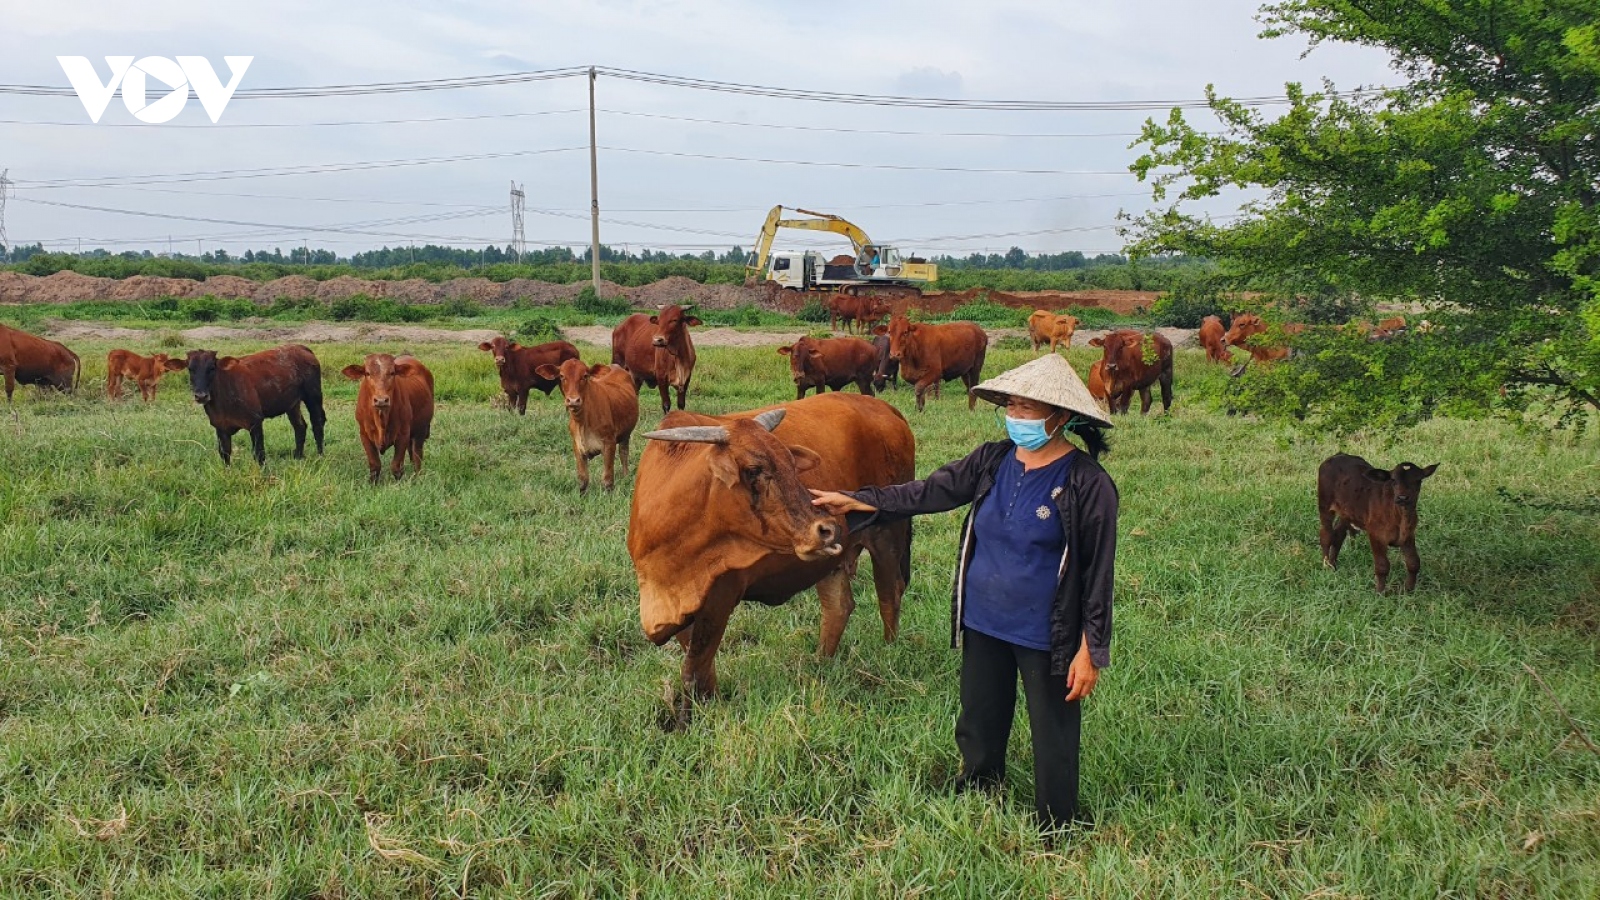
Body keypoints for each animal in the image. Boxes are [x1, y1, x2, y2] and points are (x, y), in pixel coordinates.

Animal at [165, 344, 324, 464]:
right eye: (190, 369)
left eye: (212, 368)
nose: (201, 395)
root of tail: (300, 347)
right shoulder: (220, 426)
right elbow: (225, 454)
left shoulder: (256, 422)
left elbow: (259, 454)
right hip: (292, 404)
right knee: (300, 426)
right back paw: (298, 457)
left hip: (313, 396)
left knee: (317, 423)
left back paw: (320, 456)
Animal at [340, 350, 435, 483]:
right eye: (367, 373)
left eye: (392, 373)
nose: (381, 400)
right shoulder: (364, 434)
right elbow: (375, 464)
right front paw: (373, 483)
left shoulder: (403, 434)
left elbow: (396, 465)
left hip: (420, 430)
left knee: (417, 455)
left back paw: (417, 476)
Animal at [534, 357, 640, 490]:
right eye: (562, 376)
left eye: (585, 376)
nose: (573, 400)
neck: (583, 422)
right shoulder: (576, 445)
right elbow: (583, 479)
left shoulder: (609, 443)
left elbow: (607, 479)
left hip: (626, 433)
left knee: (624, 452)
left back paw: (626, 476)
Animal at [630, 392, 921, 707]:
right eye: (753, 470)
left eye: (791, 464)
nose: (827, 529)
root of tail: (883, 407)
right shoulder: (680, 605)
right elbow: (697, 664)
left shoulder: (720, 595)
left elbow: (696, 668)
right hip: (831, 560)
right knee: (839, 606)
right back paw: (820, 665)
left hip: (888, 534)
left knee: (889, 595)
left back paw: (888, 653)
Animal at [1318, 451, 1446, 592]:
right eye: (1393, 480)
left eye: (1418, 480)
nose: (1402, 498)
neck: (1400, 517)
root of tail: (1338, 455)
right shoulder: (1376, 535)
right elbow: (1382, 566)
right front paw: (1380, 592)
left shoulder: (1408, 535)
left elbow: (1414, 563)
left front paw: (1409, 589)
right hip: (1325, 504)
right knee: (1326, 535)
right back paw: (1326, 566)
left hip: (1347, 512)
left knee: (1338, 535)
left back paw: (1333, 564)